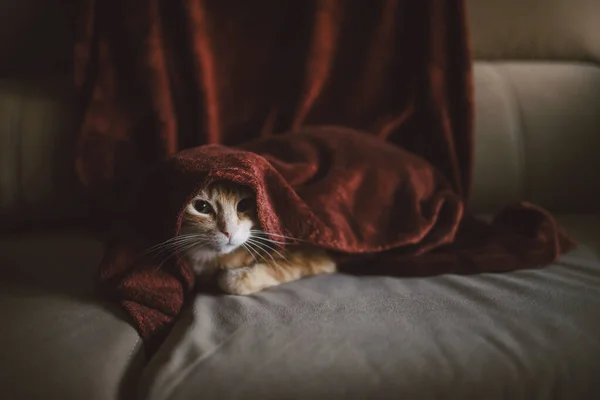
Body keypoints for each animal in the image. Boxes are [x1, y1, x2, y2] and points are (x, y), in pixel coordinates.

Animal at [178, 181, 338, 294]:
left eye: (244, 205)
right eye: (202, 207)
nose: (229, 232)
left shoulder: (307, 257)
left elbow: (230, 281)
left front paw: (229, 276)